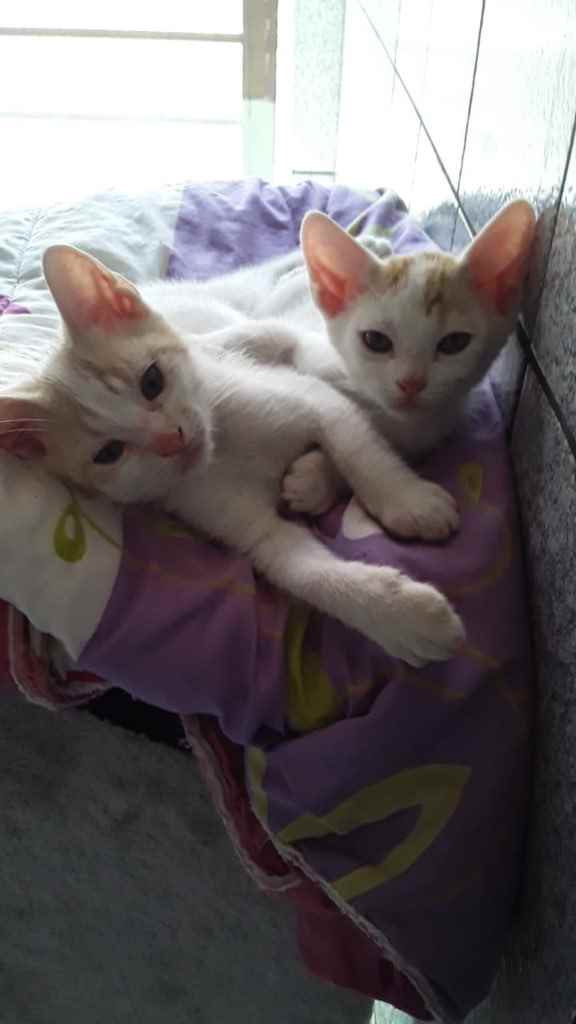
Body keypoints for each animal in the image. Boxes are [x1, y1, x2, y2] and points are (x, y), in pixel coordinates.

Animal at [0, 245, 464, 666]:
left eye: (152, 381)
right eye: (109, 453)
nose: (172, 440)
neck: (225, 449)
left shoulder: (315, 400)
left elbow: (362, 452)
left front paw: (411, 502)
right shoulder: (234, 519)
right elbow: (301, 568)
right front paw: (405, 618)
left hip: (247, 310)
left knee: (269, 297)